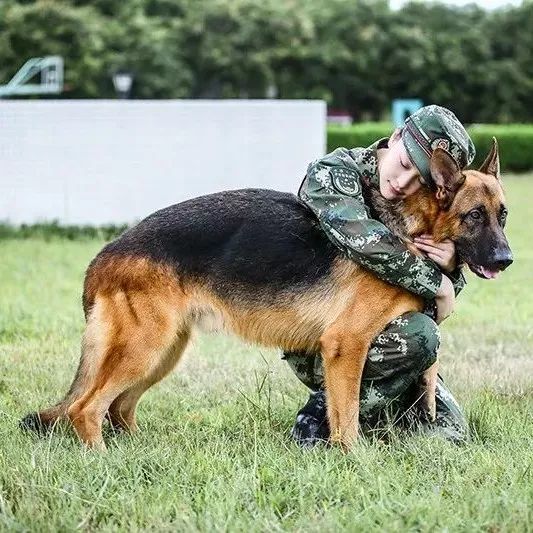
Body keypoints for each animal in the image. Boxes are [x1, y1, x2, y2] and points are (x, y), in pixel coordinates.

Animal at [21, 138, 512, 448]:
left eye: (503, 214)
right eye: (474, 215)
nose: (506, 259)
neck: (412, 228)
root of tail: (105, 254)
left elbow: (351, 410)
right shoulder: (347, 345)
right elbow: (349, 419)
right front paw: (354, 463)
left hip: (163, 352)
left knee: (119, 408)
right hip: (145, 348)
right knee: (86, 408)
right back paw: (104, 462)